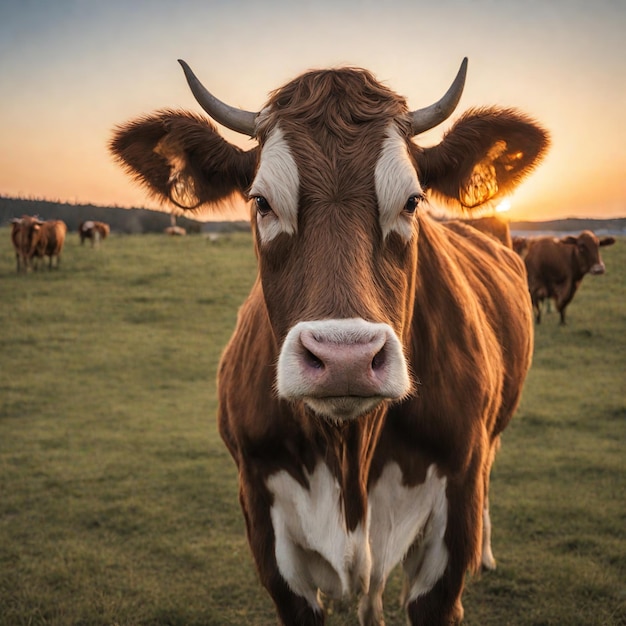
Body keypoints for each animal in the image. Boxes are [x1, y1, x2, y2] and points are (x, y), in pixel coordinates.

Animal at [108, 58, 544, 624]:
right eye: (261, 203)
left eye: (413, 202)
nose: (345, 360)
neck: (349, 453)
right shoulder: (263, 517)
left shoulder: (455, 510)